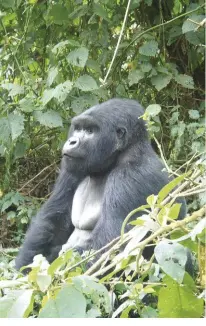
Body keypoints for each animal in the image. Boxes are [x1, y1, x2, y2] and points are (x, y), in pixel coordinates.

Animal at [14, 98, 185, 272]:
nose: (72, 141)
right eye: (78, 128)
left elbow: (108, 248)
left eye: (90, 131)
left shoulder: (130, 177)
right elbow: (52, 220)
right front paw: (21, 270)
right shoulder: (72, 167)